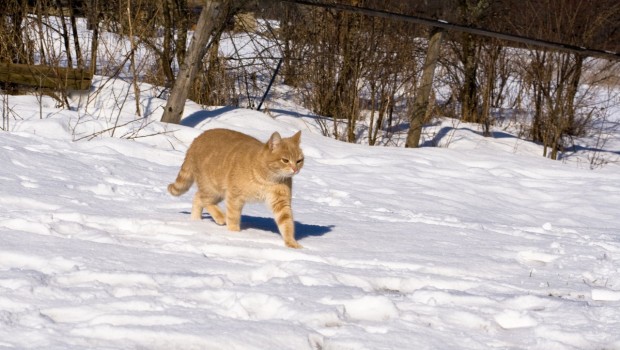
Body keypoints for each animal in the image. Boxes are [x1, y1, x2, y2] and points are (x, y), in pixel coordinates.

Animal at [167, 129, 306, 249]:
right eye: (285, 160)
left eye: (299, 160)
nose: (295, 169)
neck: (267, 177)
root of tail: (197, 139)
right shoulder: (235, 196)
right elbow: (233, 216)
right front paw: (234, 234)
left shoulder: (281, 202)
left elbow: (286, 222)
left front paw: (291, 243)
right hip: (212, 188)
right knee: (204, 200)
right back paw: (220, 217)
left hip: (217, 192)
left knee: (197, 198)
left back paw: (196, 221)